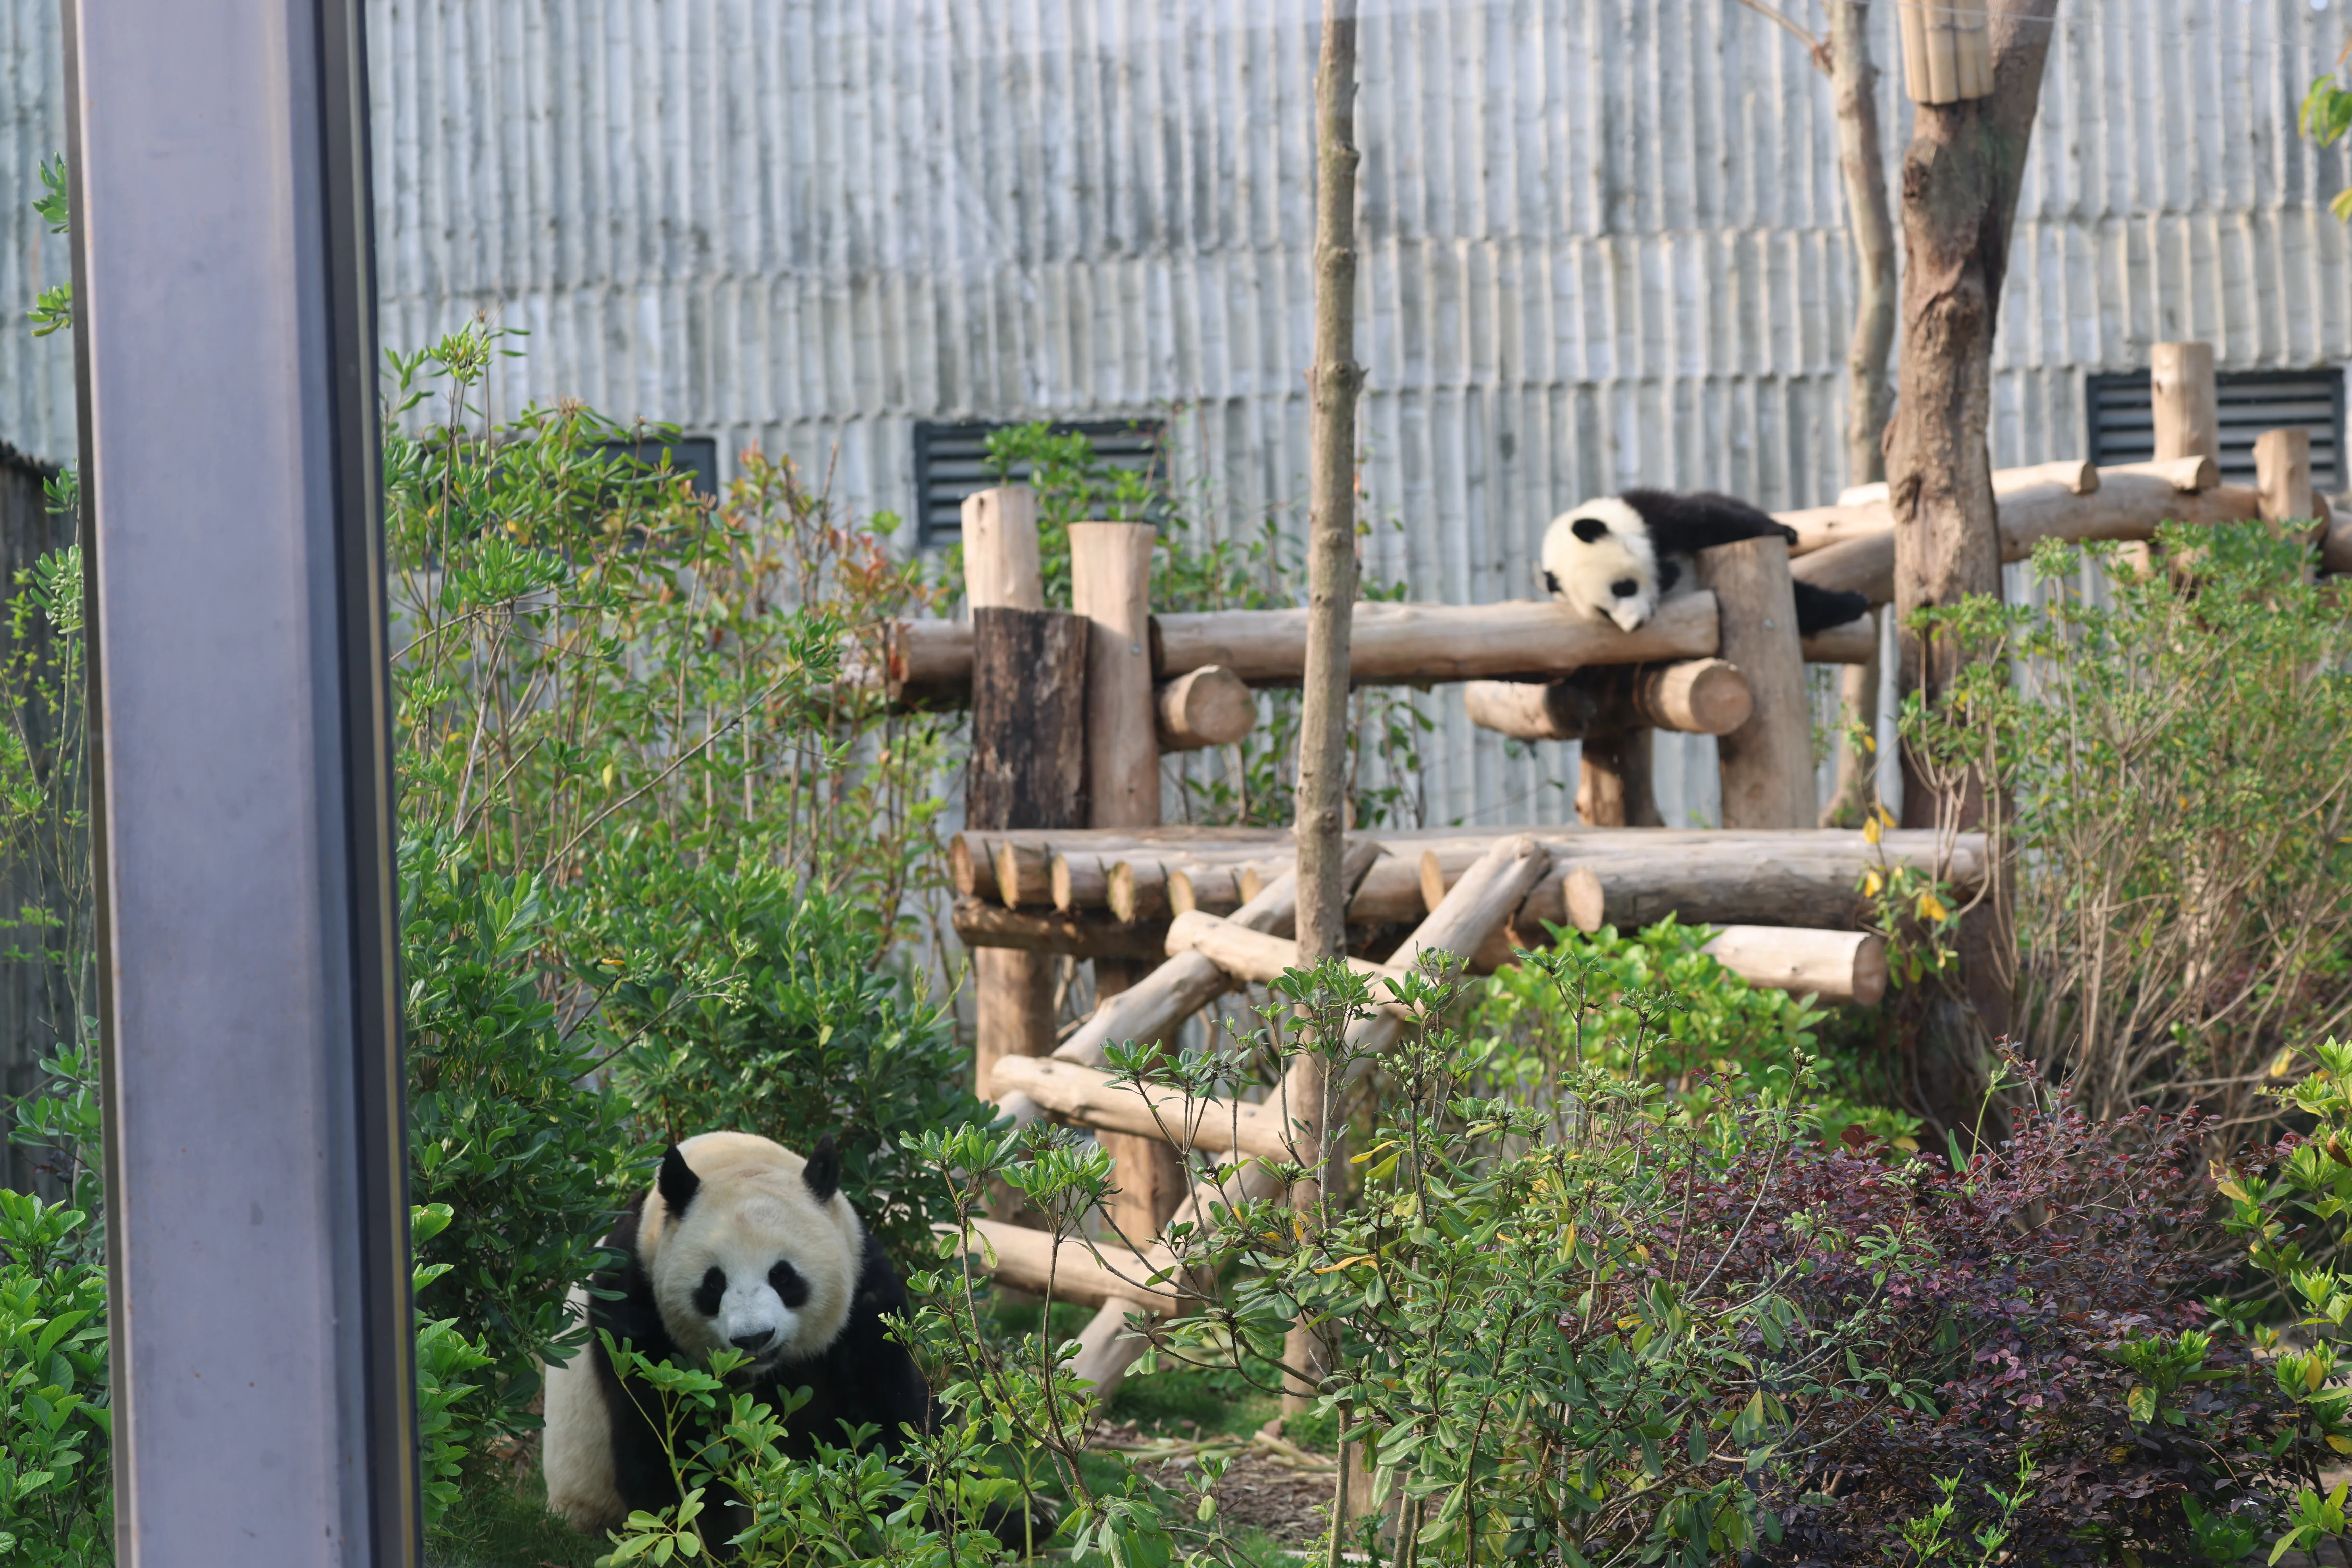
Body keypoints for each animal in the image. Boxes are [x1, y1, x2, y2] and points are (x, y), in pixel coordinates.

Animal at [542, 1131, 1030, 1547]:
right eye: (713, 1283)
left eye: (783, 1275)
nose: (754, 1337)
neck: (729, 1158)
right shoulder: (635, 1310)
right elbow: (666, 1444)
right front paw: (715, 1545)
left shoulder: (864, 1297)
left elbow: (888, 1423)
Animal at [1540, 488, 1870, 637]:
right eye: (1604, 613)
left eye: (1623, 588)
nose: (1635, 625)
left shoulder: (1650, 515)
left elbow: (1713, 521)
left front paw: (1783, 532)